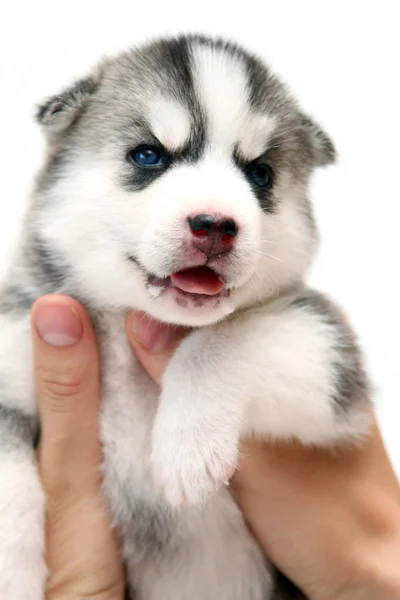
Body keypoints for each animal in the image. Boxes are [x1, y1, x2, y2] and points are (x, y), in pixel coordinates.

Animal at [0, 34, 368, 600]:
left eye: (259, 173)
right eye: (149, 155)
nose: (215, 224)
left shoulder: (324, 341)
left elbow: (217, 343)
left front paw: (188, 448)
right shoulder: (15, 350)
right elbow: (9, 479)